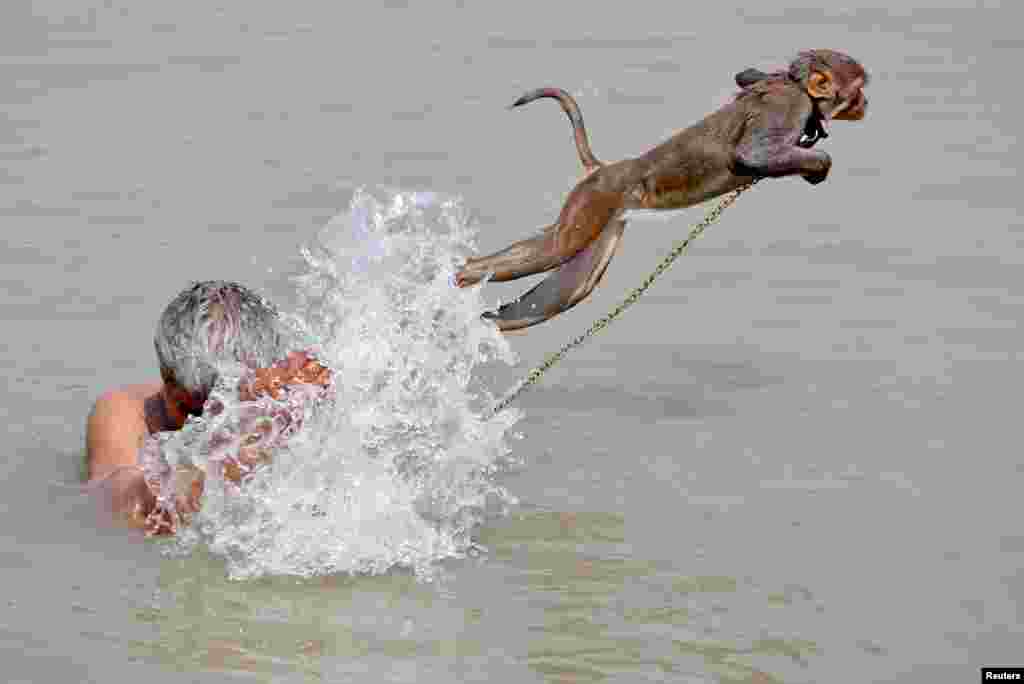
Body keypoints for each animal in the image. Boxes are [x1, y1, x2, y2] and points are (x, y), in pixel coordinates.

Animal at [452, 48, 868, 331]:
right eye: (859, 90)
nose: (866, 102)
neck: (798, 88)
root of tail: (604, 169)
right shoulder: (789, 105)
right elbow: (749, 155)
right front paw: (818, 161)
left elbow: (746, 76)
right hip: (593, 200)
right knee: (556, 248)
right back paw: (464, 274)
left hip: (606, 219)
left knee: (570, 287)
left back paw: (494, 317)